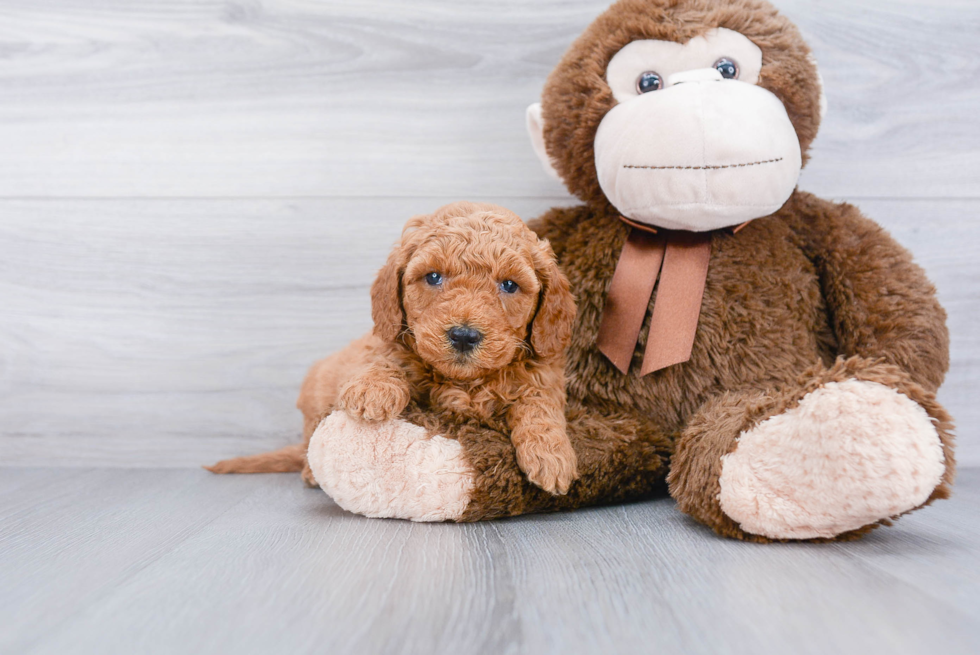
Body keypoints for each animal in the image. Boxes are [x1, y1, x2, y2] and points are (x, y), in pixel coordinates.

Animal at [205, 202, 576, 494]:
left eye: (509, 285)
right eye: (433, 277)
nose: (463, 335)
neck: (463, 382)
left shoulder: (543, 371)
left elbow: (539, 405)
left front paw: (552, 456)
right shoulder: (384, 344)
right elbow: (383, 361)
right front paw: (373, 391)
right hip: (314, 397)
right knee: (313, 435)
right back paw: (311, 470)